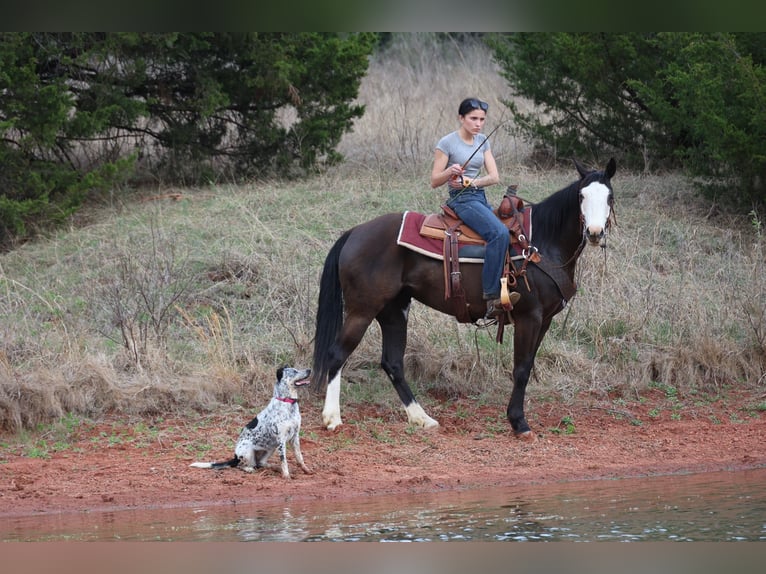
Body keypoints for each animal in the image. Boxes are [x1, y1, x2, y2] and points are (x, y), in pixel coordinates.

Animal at [312, 158, 616, 437]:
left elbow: (528, 365)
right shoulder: (529, 317)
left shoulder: (545, 320)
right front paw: (519, 422)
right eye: (581, 196)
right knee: (337, 354)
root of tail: (355, 232)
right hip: (362, 310)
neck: (540, 242)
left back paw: (421, 418)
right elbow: (520, 368)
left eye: (609, 196)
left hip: (394, 311)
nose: (594, 232)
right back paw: (332, 418)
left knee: (393, 363)